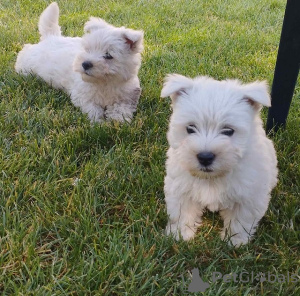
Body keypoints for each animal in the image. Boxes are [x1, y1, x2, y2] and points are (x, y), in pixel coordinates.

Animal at [15, 2, 144, 122]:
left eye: (108, 55)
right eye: (87, 49)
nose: (85, 64)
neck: (104, 83)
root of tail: (51, 37)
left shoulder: (127, 96)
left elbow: (121, 109)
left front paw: (116, 122)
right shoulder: (82, 96)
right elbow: (93, 109)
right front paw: (99, 122)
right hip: (30, 61)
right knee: (25, 52)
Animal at [161, 74, 278, 247]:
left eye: (228, 130)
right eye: (190, 128)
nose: (205, 157)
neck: (212, 178)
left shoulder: (249, 196)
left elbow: (240, 219)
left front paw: (235, 241)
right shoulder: (180, 188)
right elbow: (182, 213)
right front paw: (180, 235)